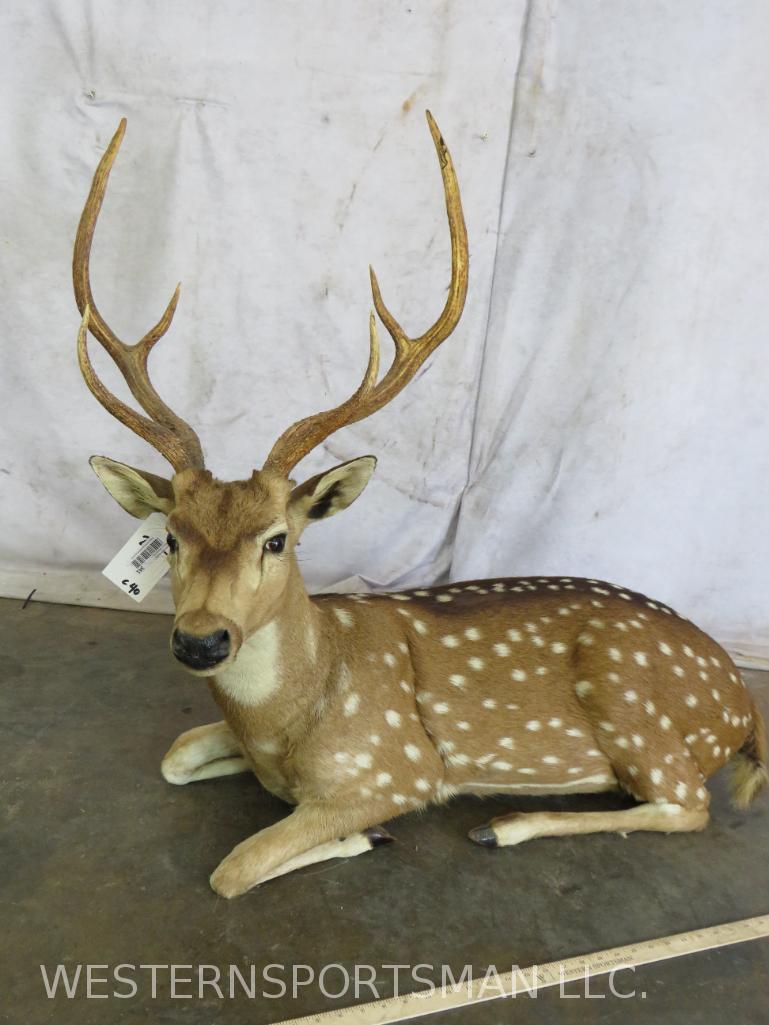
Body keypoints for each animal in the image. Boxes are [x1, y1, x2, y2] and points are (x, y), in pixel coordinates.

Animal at [73, 114, 767, 898]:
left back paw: (504, 823)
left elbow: (234, 868)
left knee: (686, 802)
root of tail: (745, 707)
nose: (201, 640)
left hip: (632, 705)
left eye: (277, 539)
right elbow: (177, 753)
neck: (284, 723)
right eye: (170, 537)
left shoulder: (393, 763)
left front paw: (364, 834)